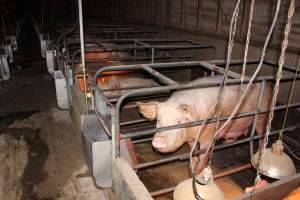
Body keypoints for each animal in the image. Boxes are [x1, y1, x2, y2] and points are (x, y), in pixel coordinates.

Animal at [137, 75, 272, 173]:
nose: (159, 140)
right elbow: (192, 149)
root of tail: (267, 87)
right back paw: (228, 141)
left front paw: (198, 171)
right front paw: (192, 164)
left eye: (179, 122)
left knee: (261, 134)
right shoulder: (191, 138)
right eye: (159, 120)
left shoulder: (209, 134)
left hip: (263, 115)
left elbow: (203, 153)